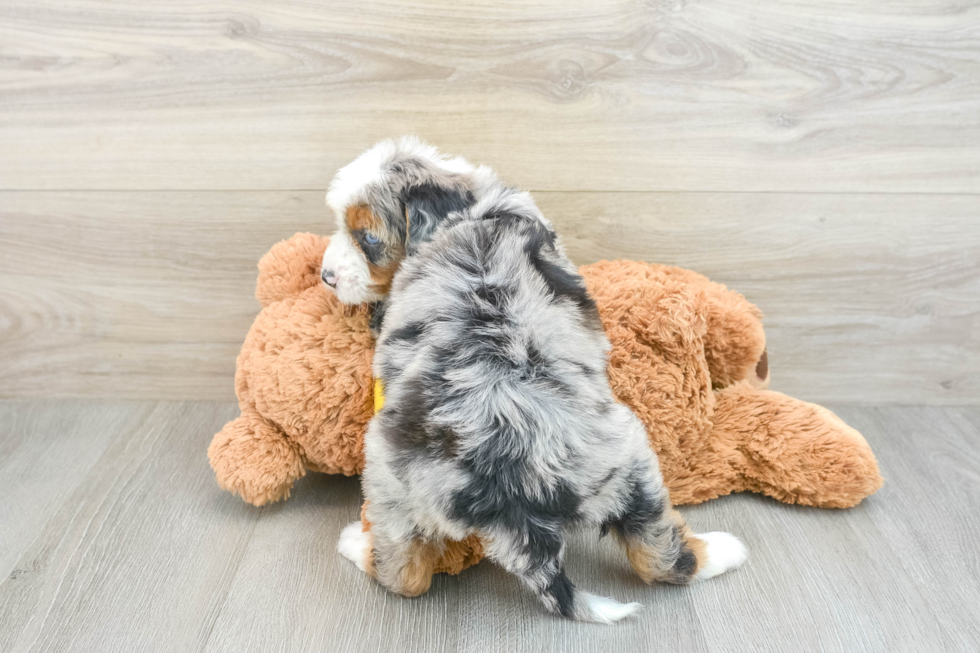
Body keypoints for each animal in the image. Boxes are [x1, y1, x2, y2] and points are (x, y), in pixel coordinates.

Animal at [326, 138, 748, 620]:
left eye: (368, 238)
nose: (326, 277)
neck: (471, 212)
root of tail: (512, 491)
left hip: (391, 480)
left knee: (407, 576)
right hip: (630, 461)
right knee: (661, 555)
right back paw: (723, 551)